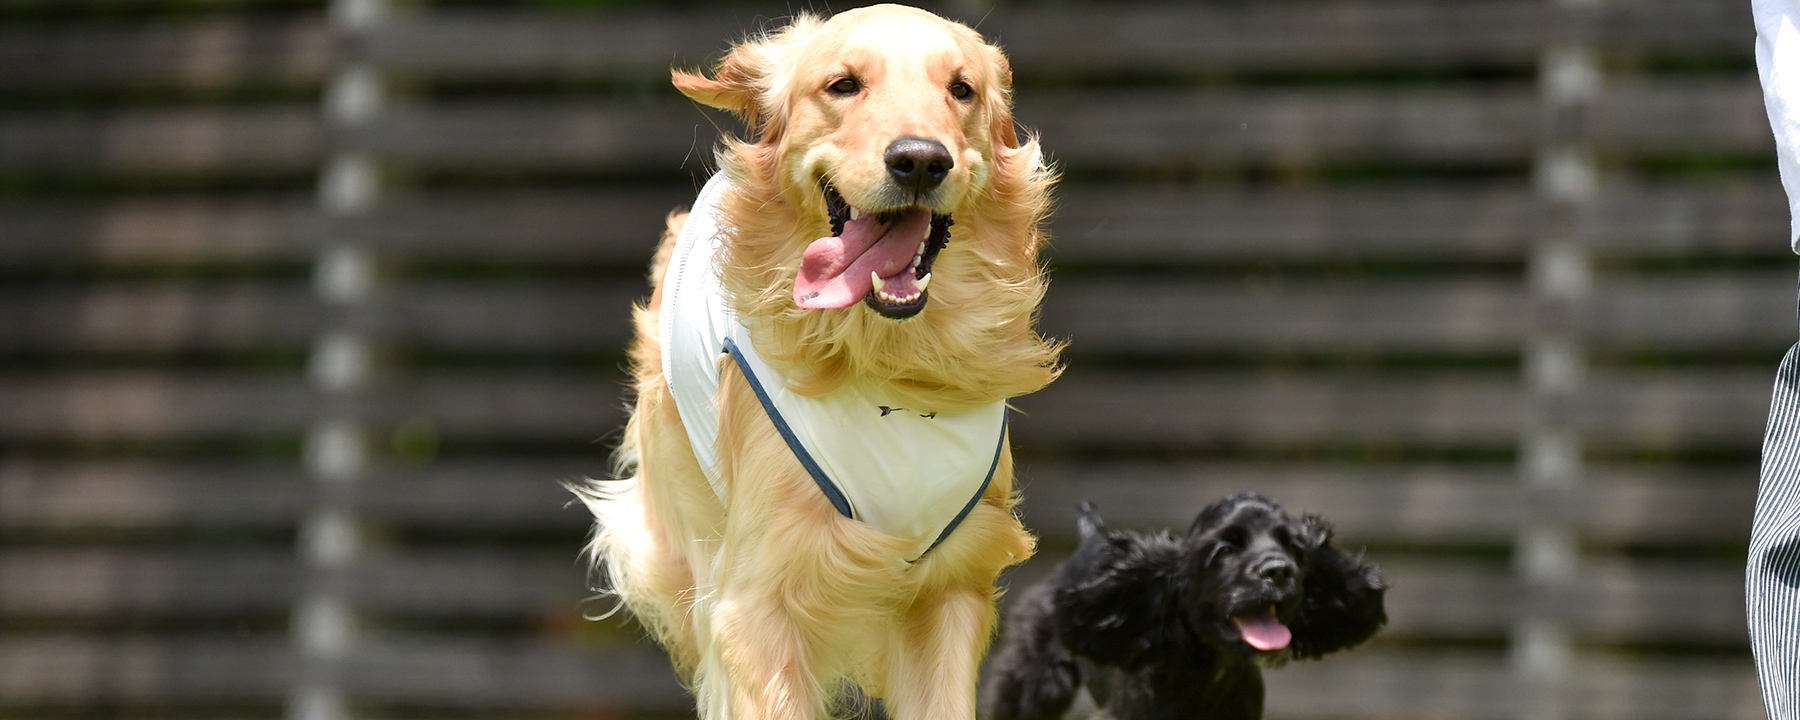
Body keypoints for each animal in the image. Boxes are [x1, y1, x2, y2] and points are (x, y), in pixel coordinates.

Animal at [572, 7, 1051, 720]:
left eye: (961, 89)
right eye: (843, 85)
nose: (919, 161)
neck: (887, 361)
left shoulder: (952, 582)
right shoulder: (756, 601)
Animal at [993, 496, 1382, 720]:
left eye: (1295, 549)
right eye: (1226, 550)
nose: (1279, 570)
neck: (1211, 675)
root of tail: (1089, 537)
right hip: (1037, 681)